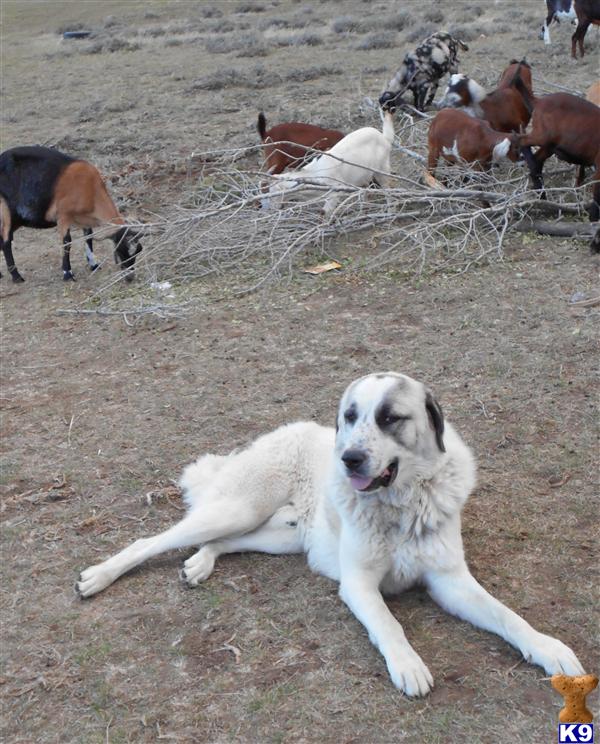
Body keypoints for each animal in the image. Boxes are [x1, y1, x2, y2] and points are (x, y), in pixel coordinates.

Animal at [0, 145, 142, 282]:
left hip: (17, 219)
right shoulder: (63, 216)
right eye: (121, 250)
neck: (89, 187)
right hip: (6, 210)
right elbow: (67, 242)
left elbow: (89, 237)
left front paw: (93, 264)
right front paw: (67, 273)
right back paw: (16, 276)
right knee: (6, 241)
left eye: (136, 253)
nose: (130, 277)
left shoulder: (85, 219)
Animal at [77, 372, 584, 696]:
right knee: (151, 541)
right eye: (351, 416)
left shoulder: (451, 582)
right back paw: (99, 577)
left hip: (280, 535)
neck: (401, 502)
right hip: (239, 508)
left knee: (224, 542)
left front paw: (549, 649)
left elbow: (508, 617)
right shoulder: (358, 583)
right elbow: (389, 623)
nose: (349, 459)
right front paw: (408, 665)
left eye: (389, 417)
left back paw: (199, 564)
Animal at [262, 110, 394, 215]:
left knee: (386, 187)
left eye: (273, 194)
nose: (271, 209)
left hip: (382, 168)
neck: (315, 173)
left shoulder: (335, 191)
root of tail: (384, 137)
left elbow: (325, 212)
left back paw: (389, 210)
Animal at [520, 93, 600, 230]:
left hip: (549, 145)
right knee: (521, 140)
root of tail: (539, 101)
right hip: (542, 136)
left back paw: (542, 198)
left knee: (537, 160)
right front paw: (593, 221)